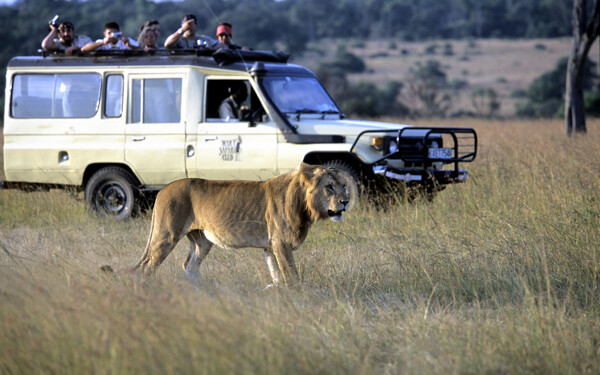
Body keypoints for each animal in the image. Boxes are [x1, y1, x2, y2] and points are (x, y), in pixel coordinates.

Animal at [129, 164, 350, 284]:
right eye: (329, 187)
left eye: (343, 185)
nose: (346, 201)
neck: (303, 203)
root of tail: (162, 190)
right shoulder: (281, 243)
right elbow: (291, 276)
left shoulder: (270, 246)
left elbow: (277, 276)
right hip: (166, 234)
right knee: (148, 267)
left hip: (202, 240)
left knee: (189, 265)